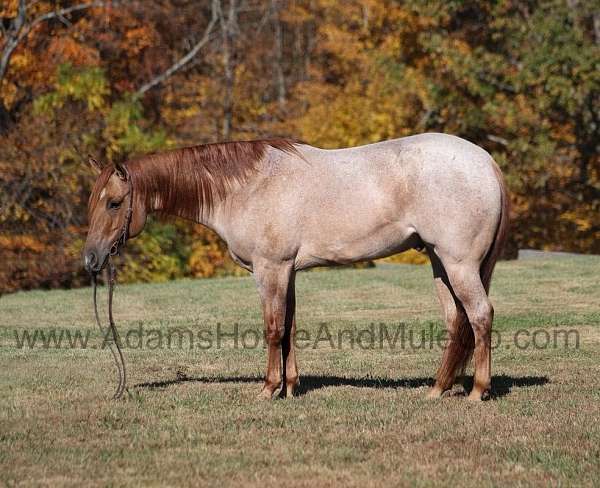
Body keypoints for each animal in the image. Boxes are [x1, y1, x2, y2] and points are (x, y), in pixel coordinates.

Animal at [83, 132, 506, 400]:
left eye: (115, 203)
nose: (91, 258)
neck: (246, 186)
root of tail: (486, 162)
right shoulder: (288, 271)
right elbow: (287, 326)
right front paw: (290, 386)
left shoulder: (270, 268)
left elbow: (272, 328)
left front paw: (269, 389)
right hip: (439, 262)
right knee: (456, 321)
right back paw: (437, 389)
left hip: (458, 263)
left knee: (480, 315)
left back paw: (477, 392)